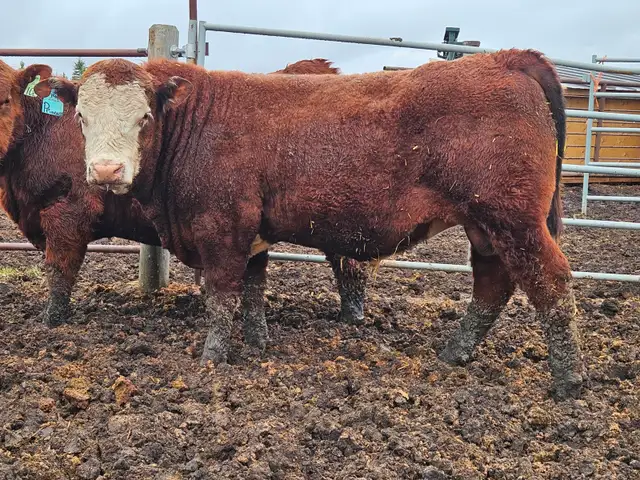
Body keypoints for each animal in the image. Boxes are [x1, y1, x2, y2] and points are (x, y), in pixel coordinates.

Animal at [0, 58, 365, 338]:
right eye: (81, 116)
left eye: (4, 100)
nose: (106, 170)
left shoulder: (69, 213)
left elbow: (59, 272)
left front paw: (51, 322)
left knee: (350, 264)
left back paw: (353, 319)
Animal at [37, 49, 585, 400]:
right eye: (82, 117)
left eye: (145, 117)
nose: (107, 171)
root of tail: (503, 58)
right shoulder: (253, 234)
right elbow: (253, 290)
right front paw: (256, 342)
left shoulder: (221, 228)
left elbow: (221, 296)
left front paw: (212, 357)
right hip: (486, 226)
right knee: (493, 283)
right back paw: (455, 352)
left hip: (513, 218)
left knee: (551, 282)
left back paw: (569, 381)